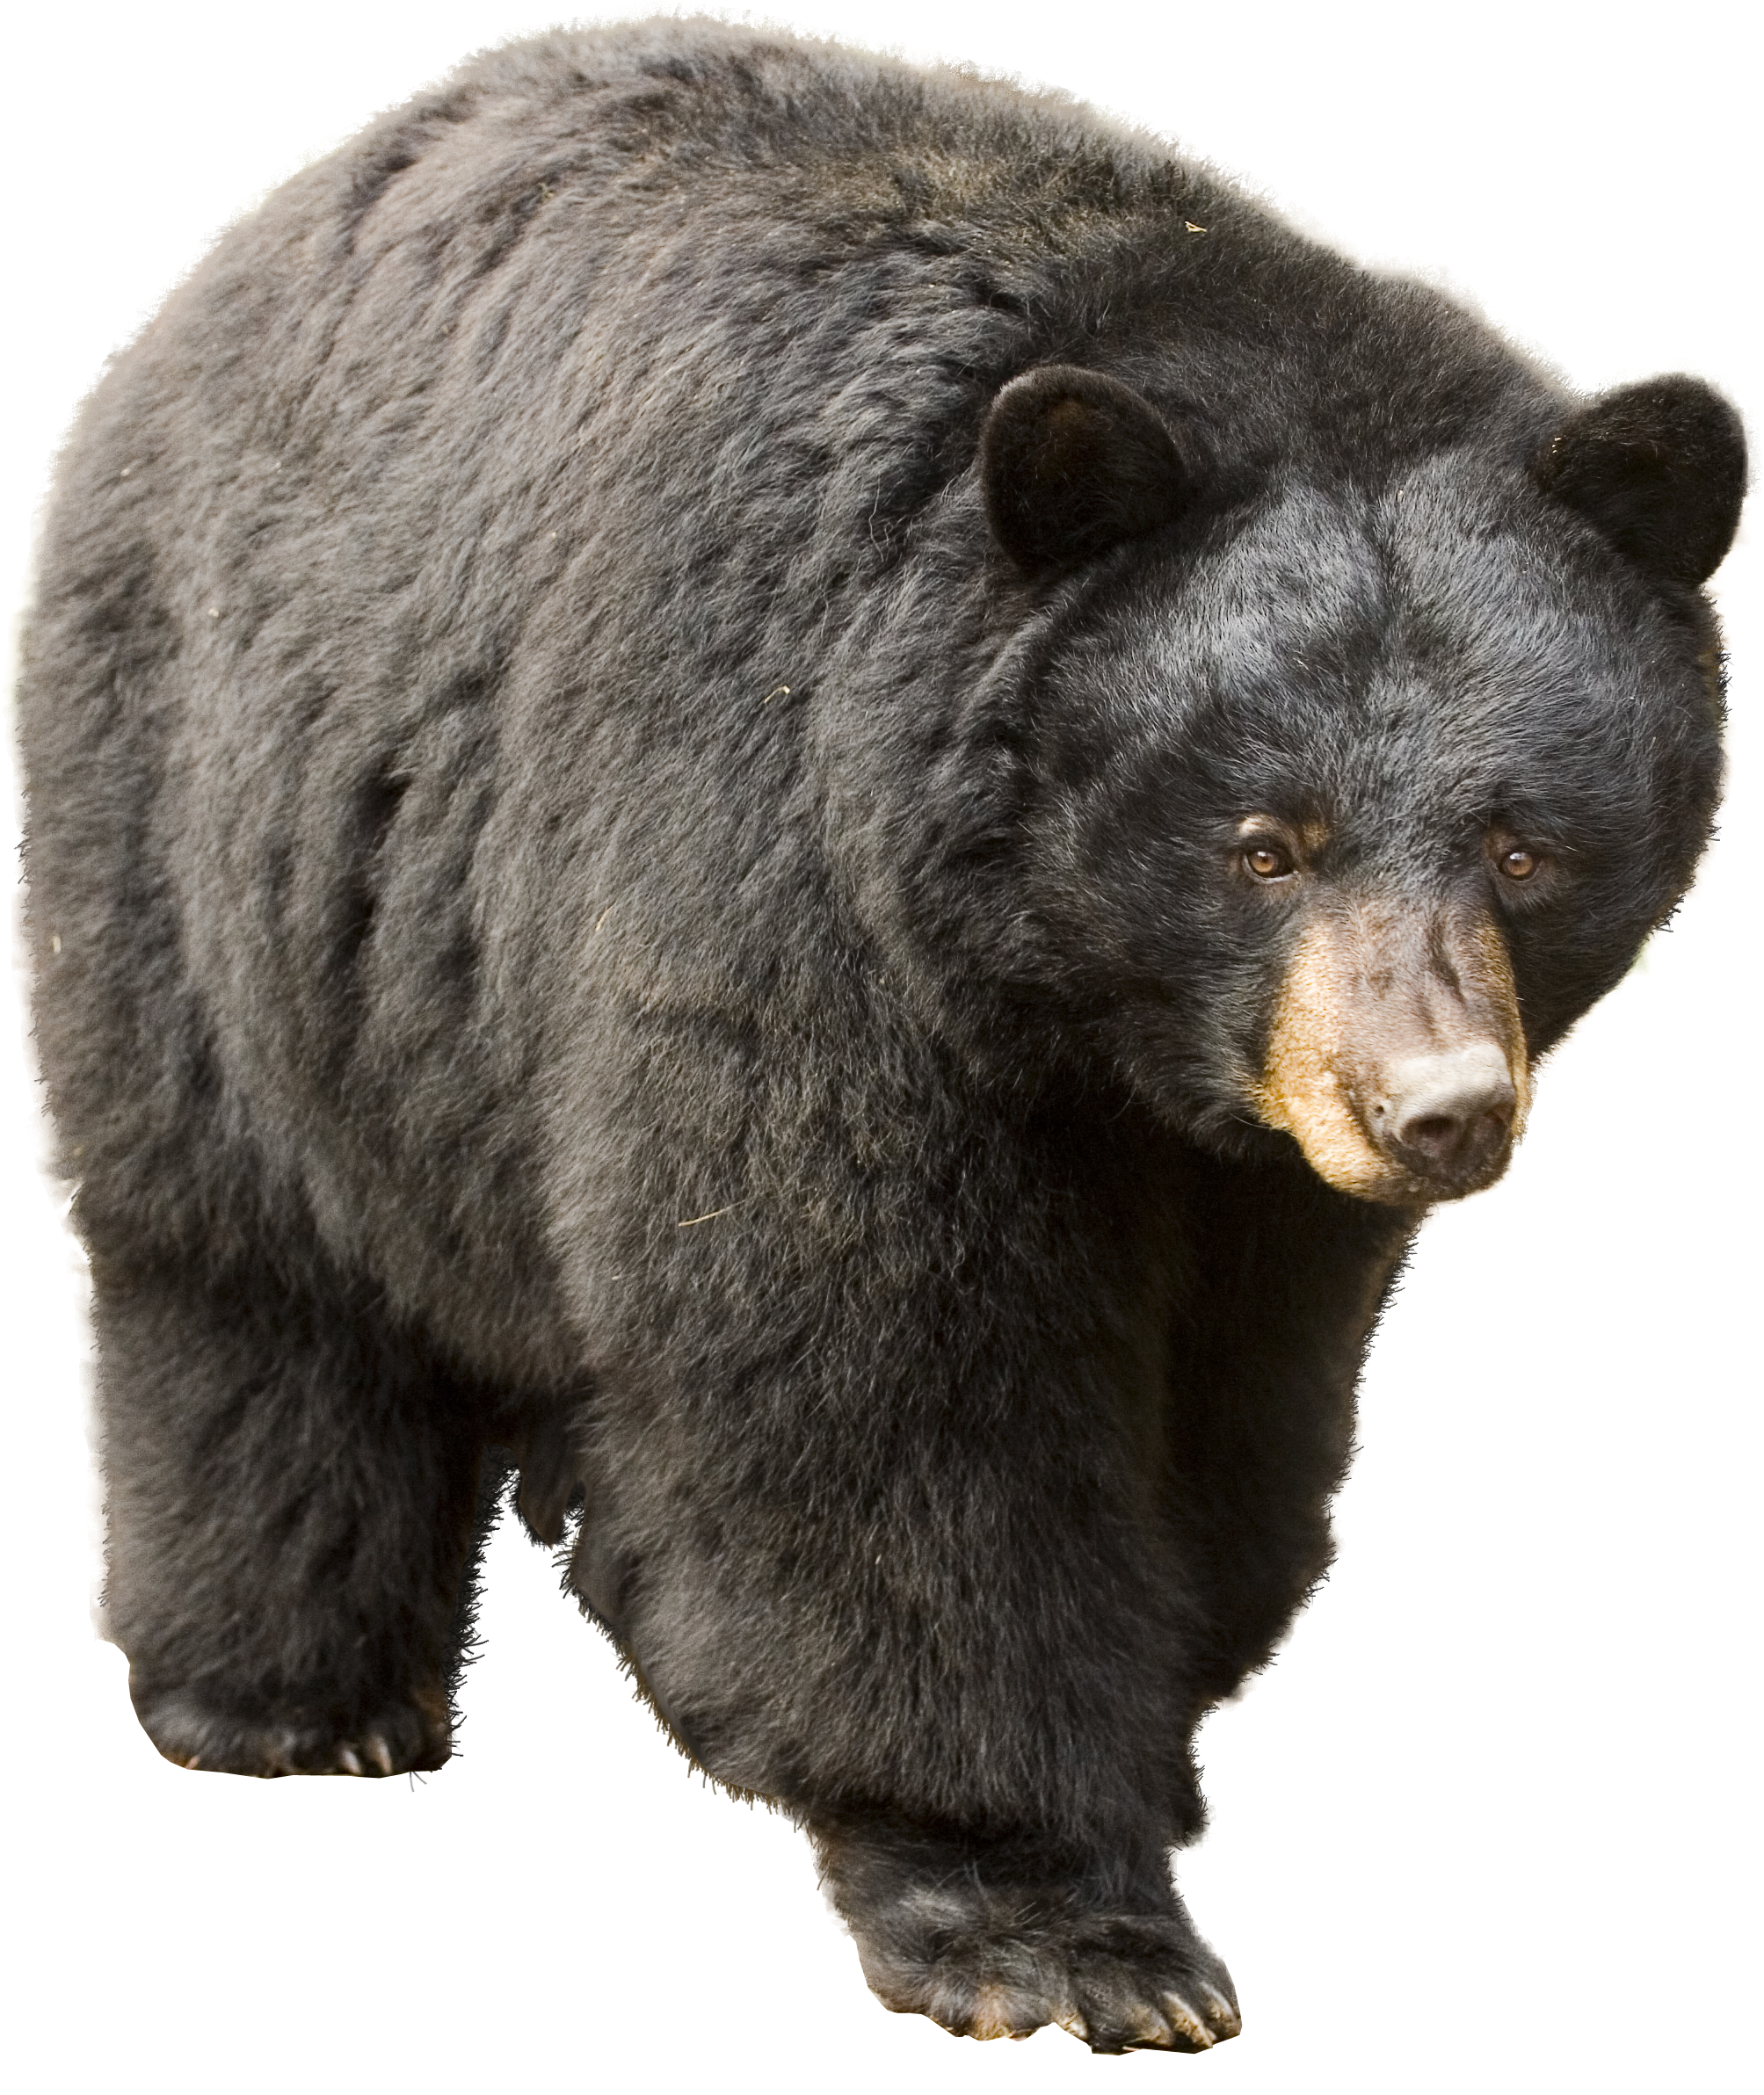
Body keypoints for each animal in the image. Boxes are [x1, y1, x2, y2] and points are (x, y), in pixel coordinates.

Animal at [8, 13, 1751, 2057]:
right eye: (1264, 840)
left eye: (1521, 844)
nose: (1434, 1110)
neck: (1068, 996)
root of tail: (229, 268)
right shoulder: (786, 865)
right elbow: (880, 1369)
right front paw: (1051, 1923)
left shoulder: (1241, 1175)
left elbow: (1225, 1394)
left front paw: (1152, 1743)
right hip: (214, 828)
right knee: (241, 1264)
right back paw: (294, 1696)